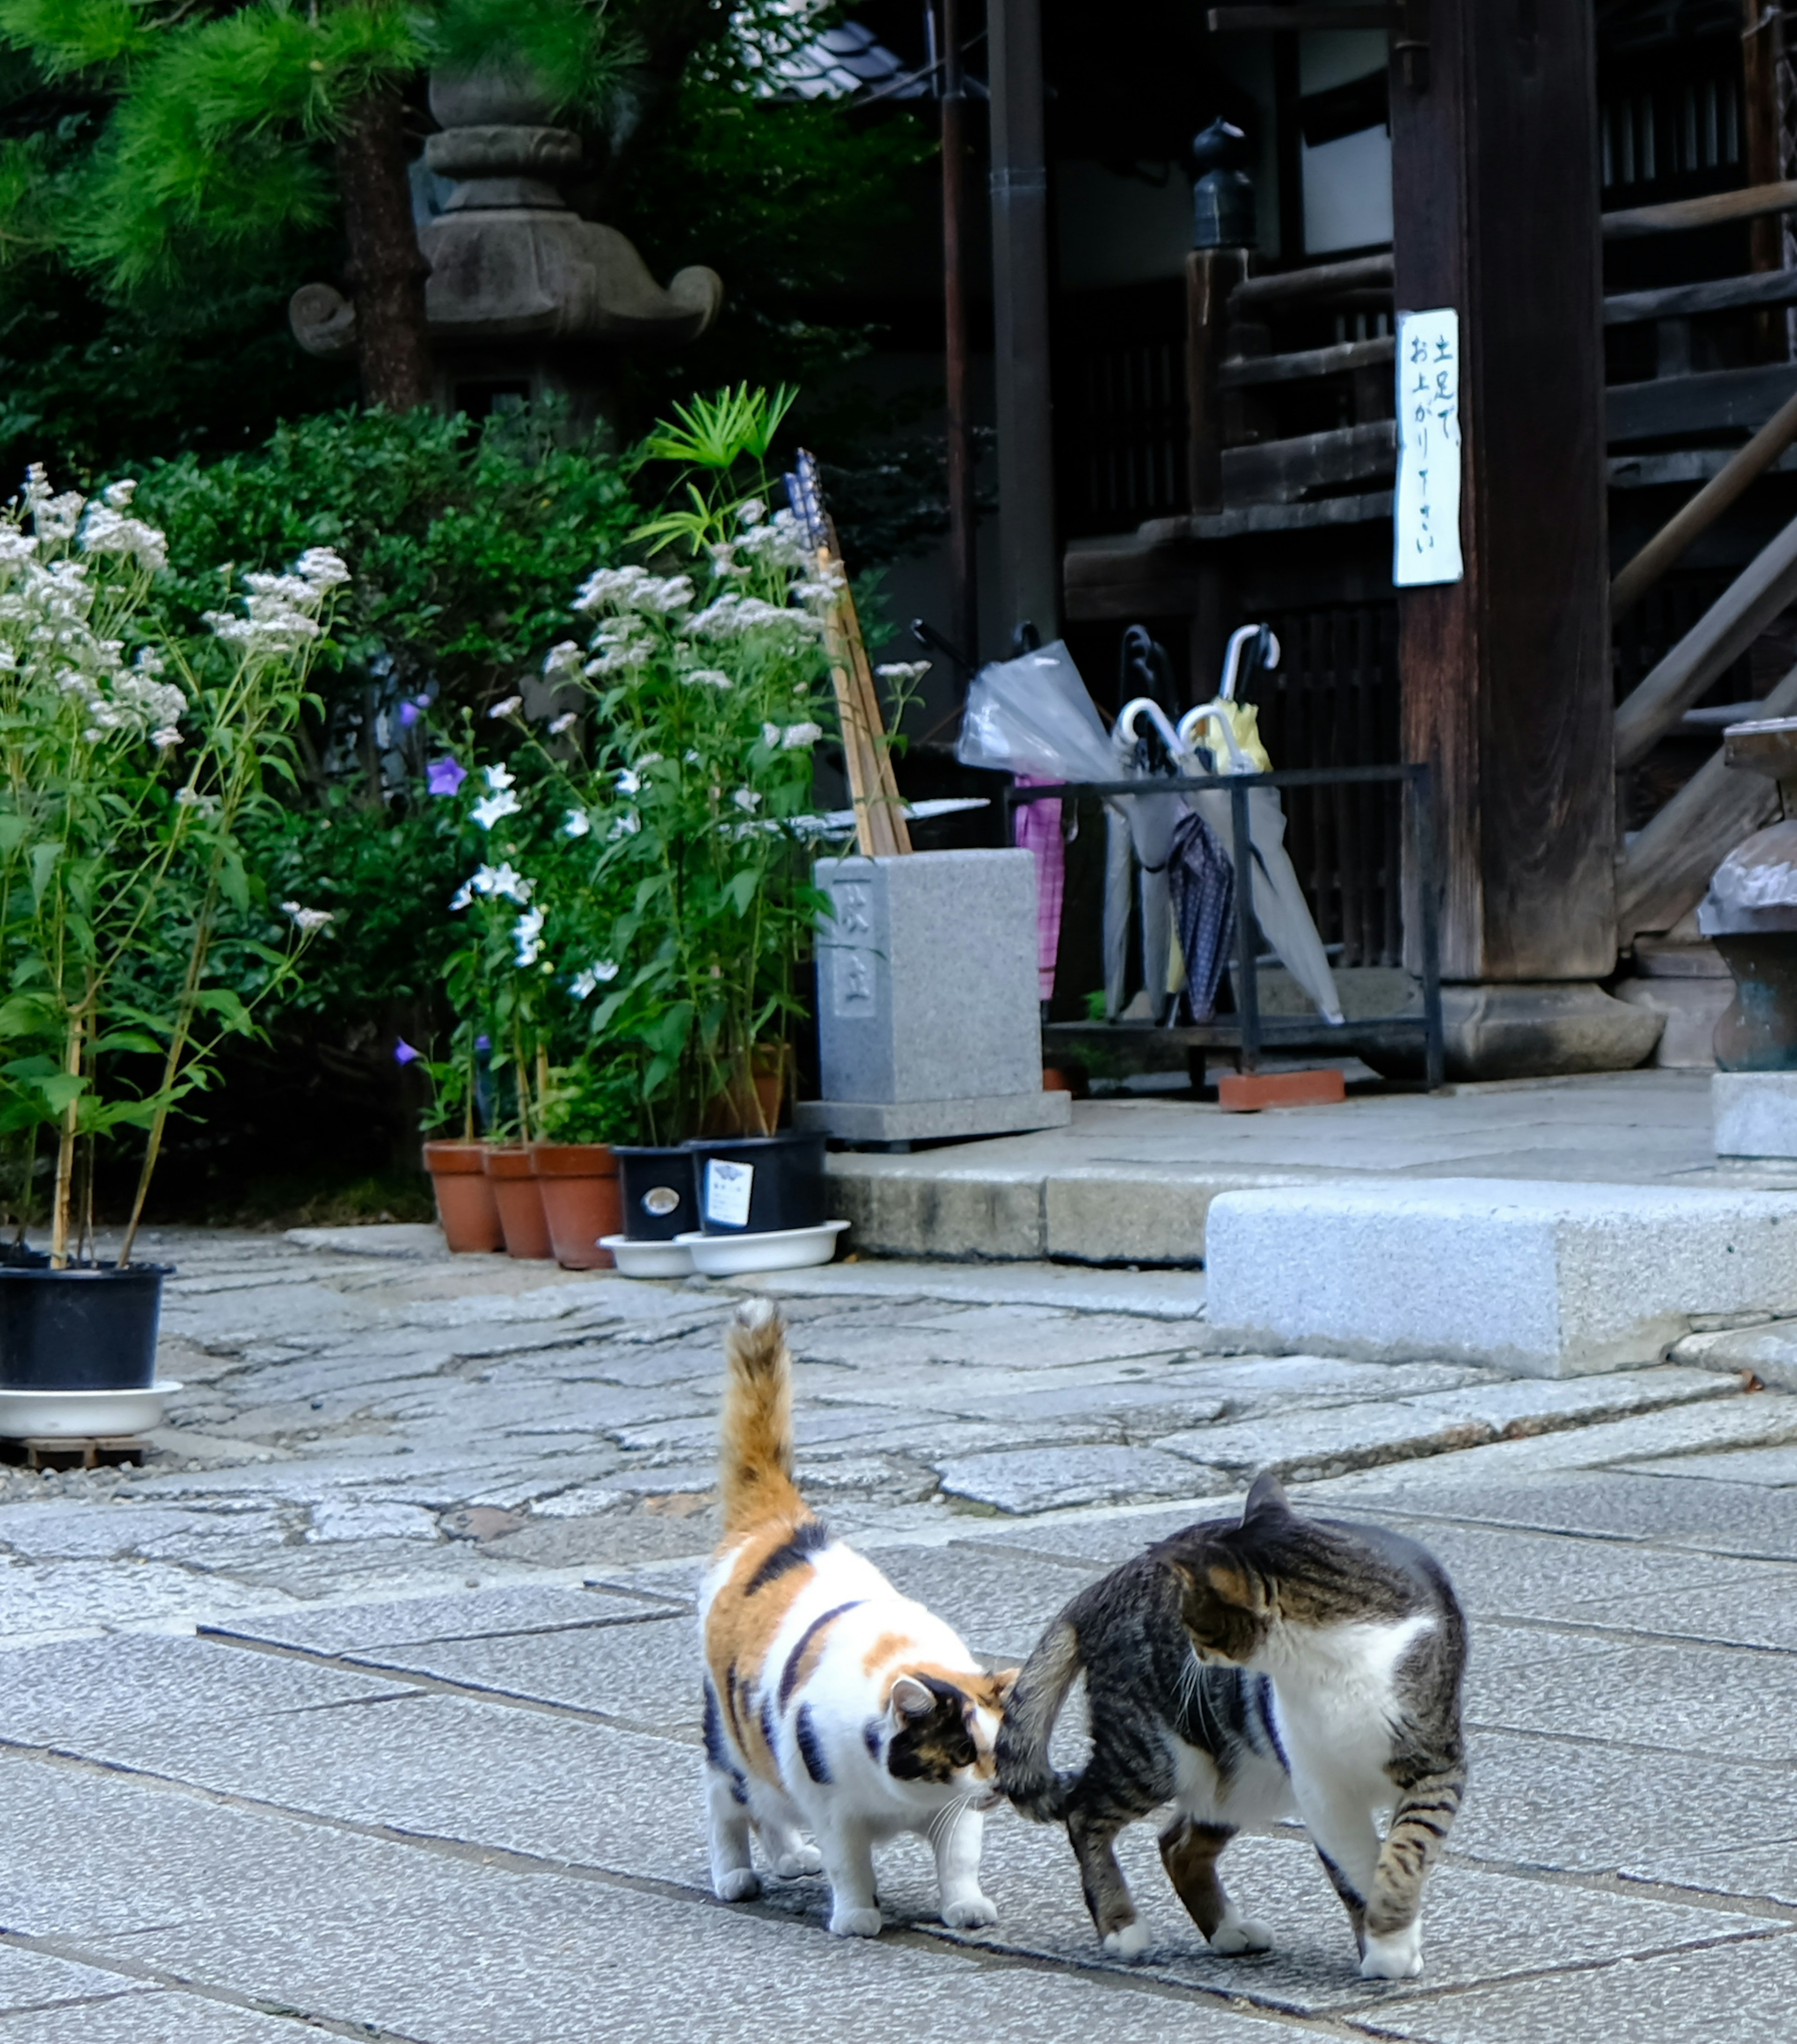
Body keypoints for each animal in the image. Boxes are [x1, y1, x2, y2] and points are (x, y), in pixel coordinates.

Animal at [699, 1300, 1018, 1937]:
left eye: (1006, 1750)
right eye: (962, 1752)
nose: (999, 1785)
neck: (905, 1798)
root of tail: (780, 1523)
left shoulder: (958, 1811)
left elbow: (960, 1859)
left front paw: (965, 1908)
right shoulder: (832, 1808)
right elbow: (849, 1865)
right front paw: (856, 1917)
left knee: (769, 1810)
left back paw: (791, 1857)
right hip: (729, 1739)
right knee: (727, 1807)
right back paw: (736, 1876)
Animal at [997, 1471, 1463, 1978]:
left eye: (1194, 1619)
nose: (1194, 1652)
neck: (1328, 1663)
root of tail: (1104, 1587)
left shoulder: (1437, 1766)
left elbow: (1405, 1850)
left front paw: (1389, 1932)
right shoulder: (1321, 1789)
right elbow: (1355, 1866)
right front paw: (1387, 1944)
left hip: (1247, 1774)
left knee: (1177, 1843)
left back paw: (1227, 1929)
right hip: (1157, 1752)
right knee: (1086, 1813)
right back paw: (1122, 1926)